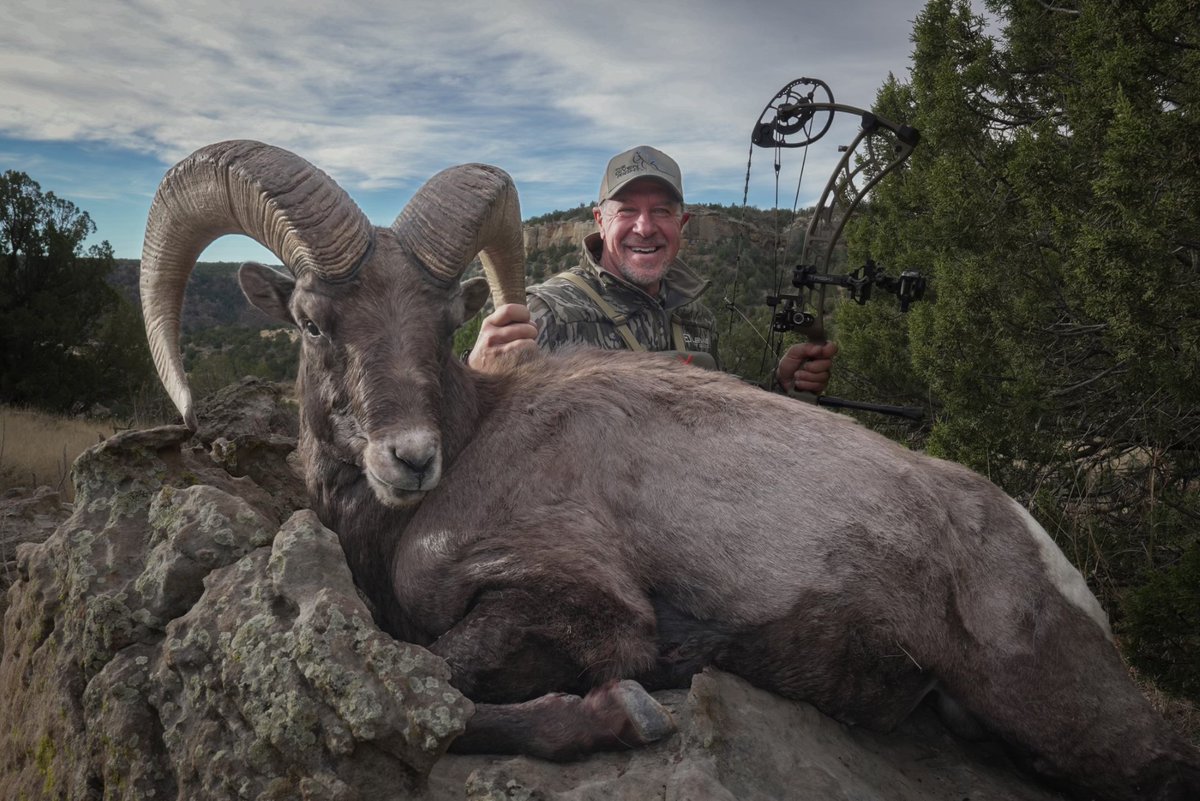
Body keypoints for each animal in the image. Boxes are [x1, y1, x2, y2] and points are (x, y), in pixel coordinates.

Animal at [139, 140, 1200, 801]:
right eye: (314, 321)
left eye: (442, 324)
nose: (410, 457)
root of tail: (1051, 562)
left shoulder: (594, 610)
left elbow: (445, 683)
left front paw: (625, 716)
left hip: (1064, 712)